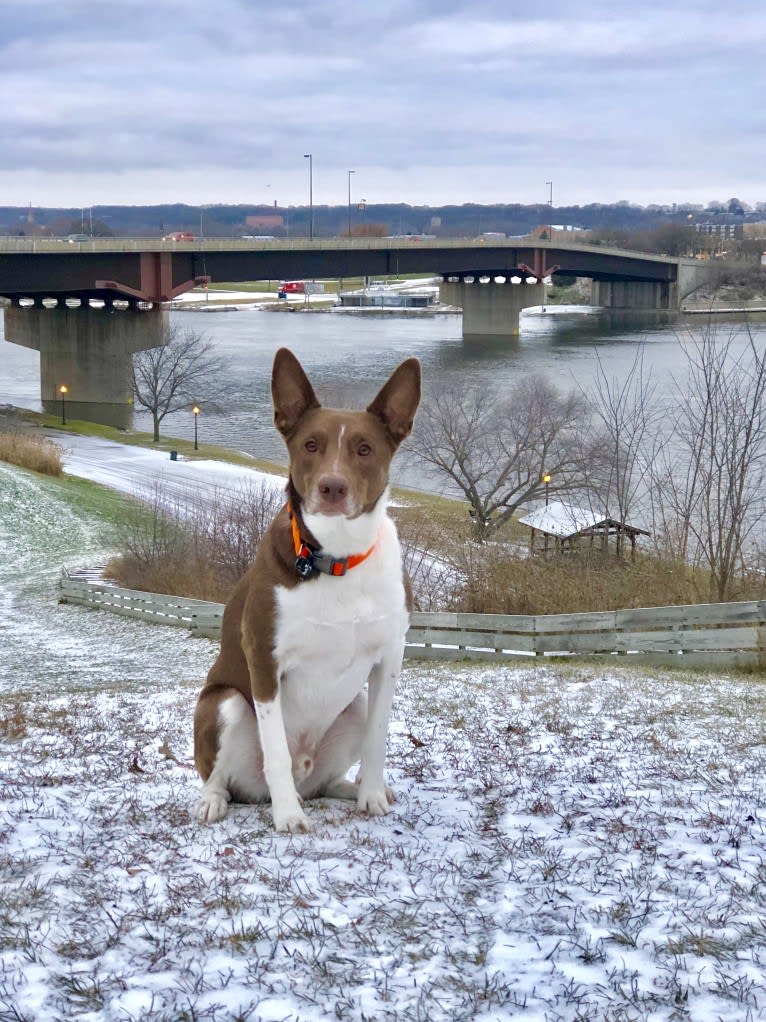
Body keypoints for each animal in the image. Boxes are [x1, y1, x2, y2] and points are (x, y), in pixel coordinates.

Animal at [192, 347, 420, 833]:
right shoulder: (264, 660)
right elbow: (276, 750)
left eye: (364, 449)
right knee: (222, 775)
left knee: (327, 779)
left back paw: (346, 789)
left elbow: (378, 739)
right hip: (222, 704)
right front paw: (288, 817)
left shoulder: (389, 657)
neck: (337, 558)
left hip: (353, 706)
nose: (332, 487)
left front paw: (373, 796)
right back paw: (219, 801)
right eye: (310, 445)